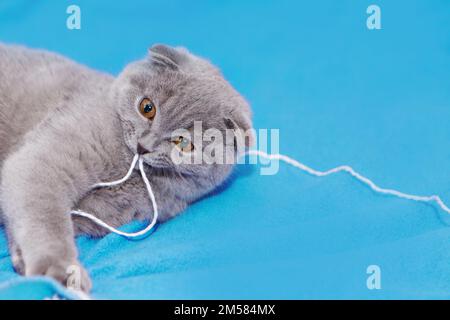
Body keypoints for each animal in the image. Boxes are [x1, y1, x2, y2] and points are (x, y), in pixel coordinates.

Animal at [0, 43, 253, 292]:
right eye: (147, 107)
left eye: (183, 143)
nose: (144, 146)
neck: (125, 169)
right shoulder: (46, 160)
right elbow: (47, 216)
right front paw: (61, 270)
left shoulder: (123, 211)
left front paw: (20, 257)